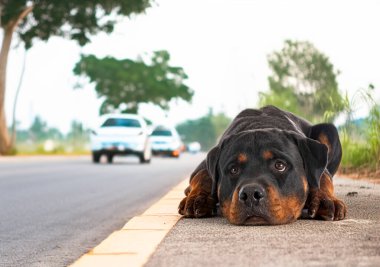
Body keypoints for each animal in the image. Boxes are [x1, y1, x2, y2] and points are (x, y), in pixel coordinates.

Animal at [178, 105, 348, 225]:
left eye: (280, 165)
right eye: (233, 169)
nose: (250, 194)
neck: (260, 124)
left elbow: (322, 178)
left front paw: (325, 199)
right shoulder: (203, 166)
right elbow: (203, 176)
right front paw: (198, 198)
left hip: (329, 130)